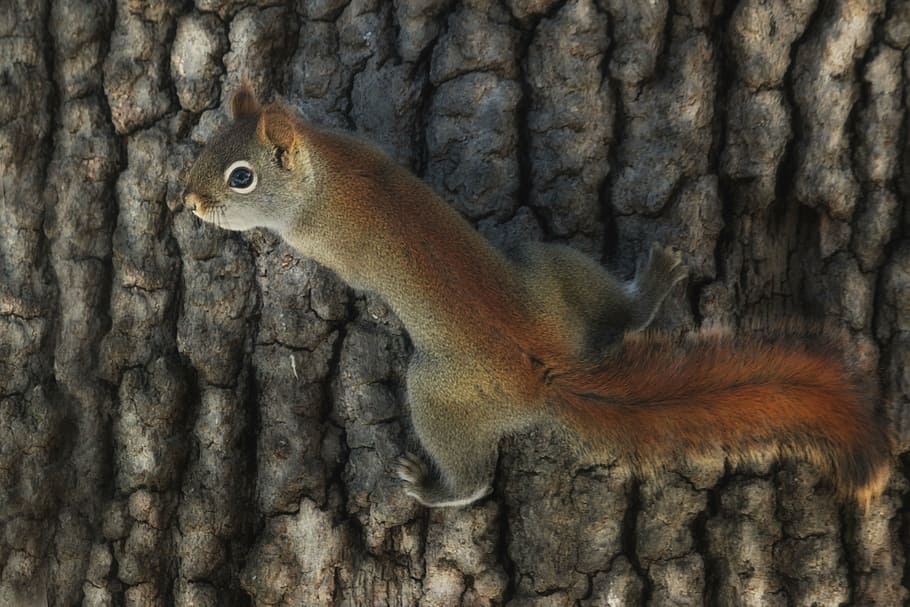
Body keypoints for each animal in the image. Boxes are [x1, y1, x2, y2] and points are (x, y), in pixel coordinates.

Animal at [184, 82, 892, 508]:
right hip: (552, 268)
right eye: (204, 146)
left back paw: (434, 488)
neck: (326, 172)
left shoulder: (320, 237)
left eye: (240, 177)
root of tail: (553, 373)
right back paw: (649, 289)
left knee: (473, 481)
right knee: (620, 315)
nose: (188, 202)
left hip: (441, 391)